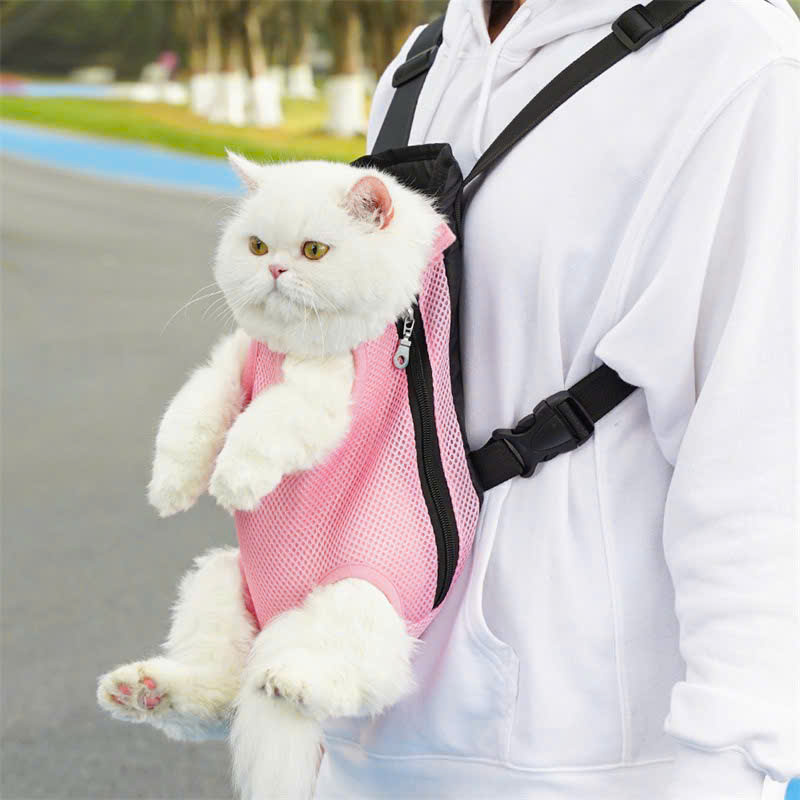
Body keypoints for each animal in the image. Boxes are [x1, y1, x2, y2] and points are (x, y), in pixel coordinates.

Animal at [97, 152, 444, 799]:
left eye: (313, 251)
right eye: (256, 246)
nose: (276, 268)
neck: (285, 351)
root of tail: (277, 622)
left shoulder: (323, 394)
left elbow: (262, 425)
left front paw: (233, 480)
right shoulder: (233, 360)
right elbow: (192, 415)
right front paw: (172, 487)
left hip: (354, 594)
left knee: (366, 676)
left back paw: (294, 682)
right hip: (217, 579)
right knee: (217, 693)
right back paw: (145, 691)